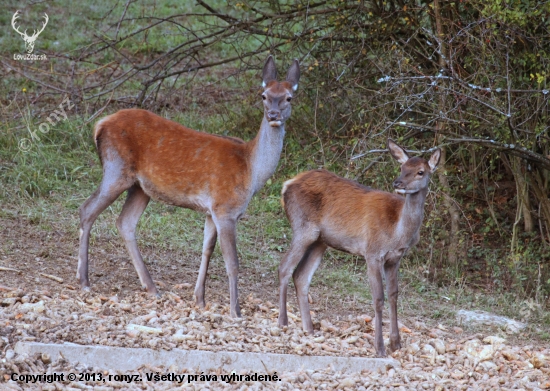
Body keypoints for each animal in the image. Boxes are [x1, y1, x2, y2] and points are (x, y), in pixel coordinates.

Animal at [78, 56, 302, 318]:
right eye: (264, 95)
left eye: (289, 97)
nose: (273, 114)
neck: (250, 170)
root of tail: (99, 125)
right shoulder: (225, 208)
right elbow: (232, 262)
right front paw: (235, 311)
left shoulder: (211, 211)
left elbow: (207, 250)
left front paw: (200, 299)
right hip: (116, 169)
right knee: (87, 210)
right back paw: (84, 280)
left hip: (140, 187)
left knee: (125, 222)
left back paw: (151, 287)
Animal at [278, 140, 442, 358]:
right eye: (402, 167)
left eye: (420, 172)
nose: (398, 183)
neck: (398, 232)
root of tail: (286, 185)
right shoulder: (372, 253)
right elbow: (378, 298)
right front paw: (380, 347)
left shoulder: (395, 258)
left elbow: (394, 295)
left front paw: (396, 343)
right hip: (303, 228)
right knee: (284, 267)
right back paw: (283, 322)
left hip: (320, 240)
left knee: (301, 276)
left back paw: (309, 329)